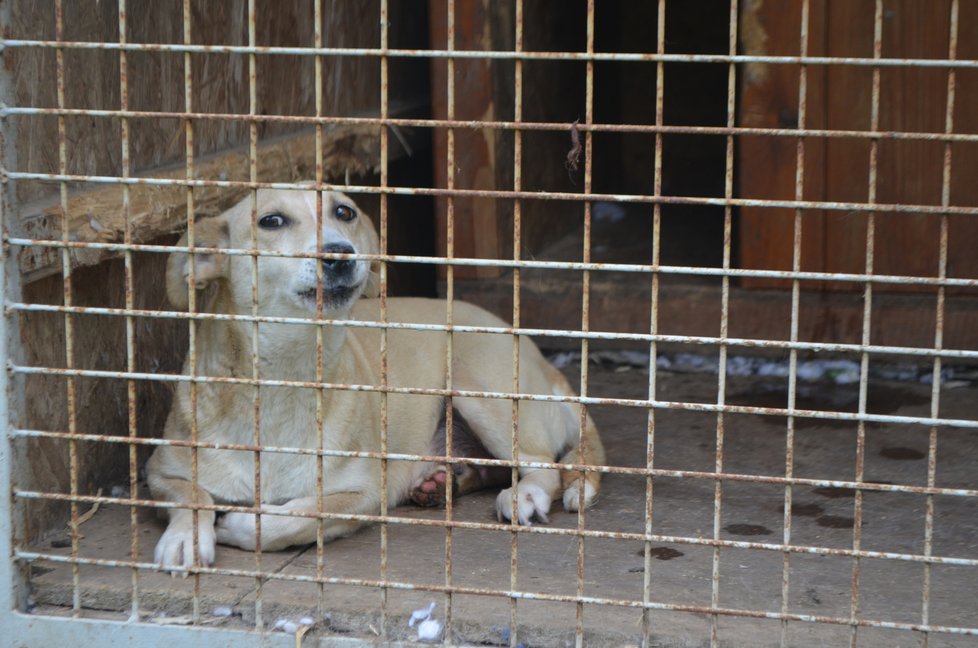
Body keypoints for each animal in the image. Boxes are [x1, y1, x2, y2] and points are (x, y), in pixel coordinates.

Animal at [145, 187, 604, 568]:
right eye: (271, 221)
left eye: (344, 212)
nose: (340, 253)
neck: (287, 374)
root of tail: (544, 362)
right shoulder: (159, 472)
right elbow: (192, 495)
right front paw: (185, 538)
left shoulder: (363, 493)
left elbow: (303, 515)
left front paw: (245, 526)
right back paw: (441, 482)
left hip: (480, 390)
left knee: (545, 466)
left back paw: (522, 494)